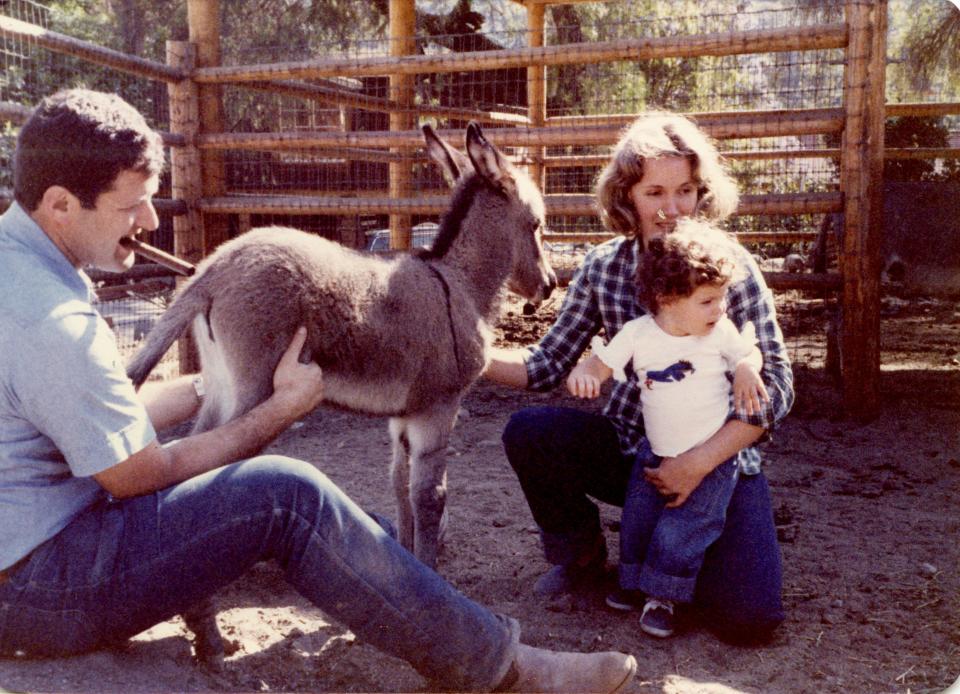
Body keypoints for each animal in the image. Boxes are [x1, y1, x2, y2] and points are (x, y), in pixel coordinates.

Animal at [125, 125, 556, 664]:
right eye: (536, 224)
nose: (550, 286)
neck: (458, 284)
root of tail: (211, 270)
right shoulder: (438, 408)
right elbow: (430, 496)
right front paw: (433, 579)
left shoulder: (404, 417)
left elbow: (400, 489)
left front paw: (410, 575)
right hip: (254, 391)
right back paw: (206, 625)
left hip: (222, 387)